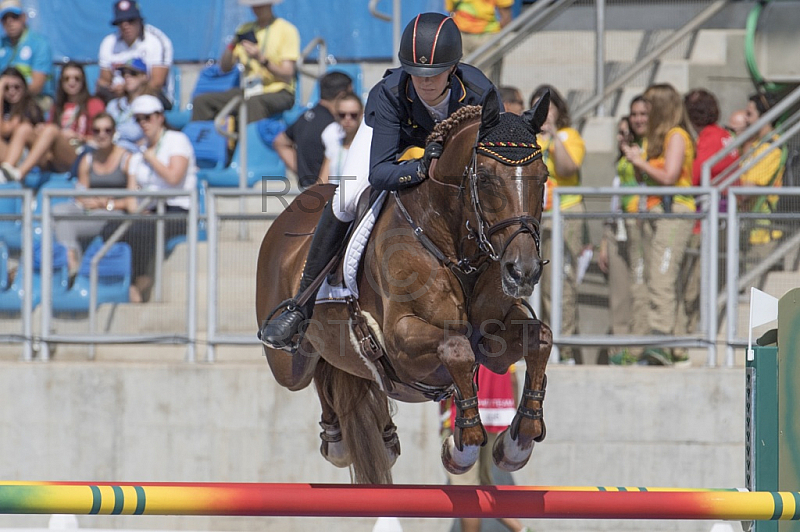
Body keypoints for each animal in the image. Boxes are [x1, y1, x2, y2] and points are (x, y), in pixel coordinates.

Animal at [258, 89, 556, 484]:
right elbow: (456, 348)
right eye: (487, 179)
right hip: (288, 365)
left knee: (343, 369)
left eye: (543, 177)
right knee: (314, 365)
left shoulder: (494, 342)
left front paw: (516, 442)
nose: (522, 271)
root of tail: (286, 217)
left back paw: (382, 440)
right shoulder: (401, 340)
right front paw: (463, 446)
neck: (457, 250)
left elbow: (540, 338)